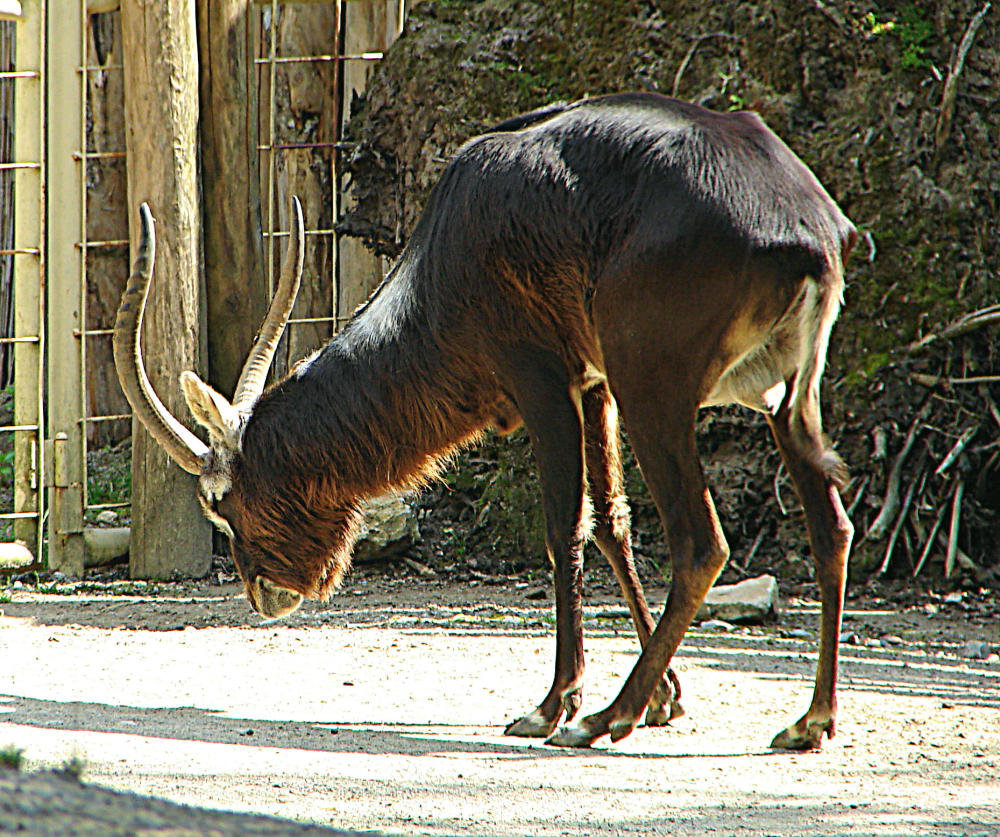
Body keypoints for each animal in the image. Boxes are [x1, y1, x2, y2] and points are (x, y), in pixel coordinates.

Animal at [115, 93, 852, 752]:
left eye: (219, 501)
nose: (265, 593)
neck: (449, 248)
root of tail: (804, 224)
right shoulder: (596, 387)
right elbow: (612, 523)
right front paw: (665, 697)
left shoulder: (544, 382)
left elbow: (565, 527)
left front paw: (554, 705)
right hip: (783, 397)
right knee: (830, 526)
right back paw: (809, 721)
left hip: (656, 392)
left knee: (702, 542)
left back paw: (601, 720)